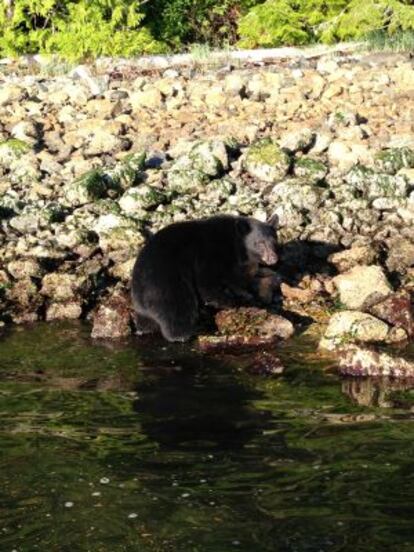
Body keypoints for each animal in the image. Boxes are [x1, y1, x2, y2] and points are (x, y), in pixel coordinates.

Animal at [130, 215, 278, 340]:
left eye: (274, 241)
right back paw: (194, 331)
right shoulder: (209, 255)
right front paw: (232, 302)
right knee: (178, 311)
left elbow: (235, 280)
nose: (273, 258)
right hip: (166, 286)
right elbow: (208, 283)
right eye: (260, 243)